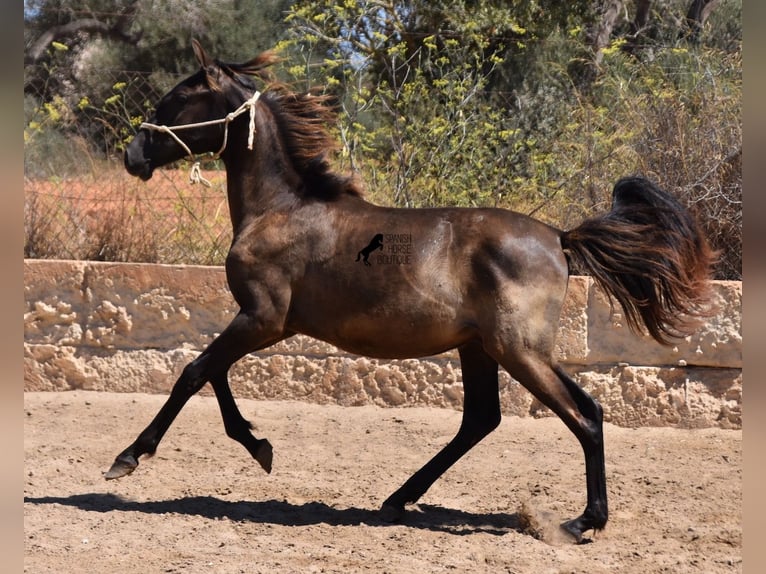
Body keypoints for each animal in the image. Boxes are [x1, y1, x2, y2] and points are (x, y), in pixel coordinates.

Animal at [114, 39, 720, 544]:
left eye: (177, 99)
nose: (132, 155)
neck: (280, 209)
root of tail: (559, 237)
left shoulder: (263, 318)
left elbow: (194, 371)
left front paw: (130, 456)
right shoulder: (264, 322)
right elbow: (212, 373)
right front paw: (259, 446)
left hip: (518, 350)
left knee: (582, 414)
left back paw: (579, 523)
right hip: (483, 348)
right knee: (487, 419)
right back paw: (398, 499)